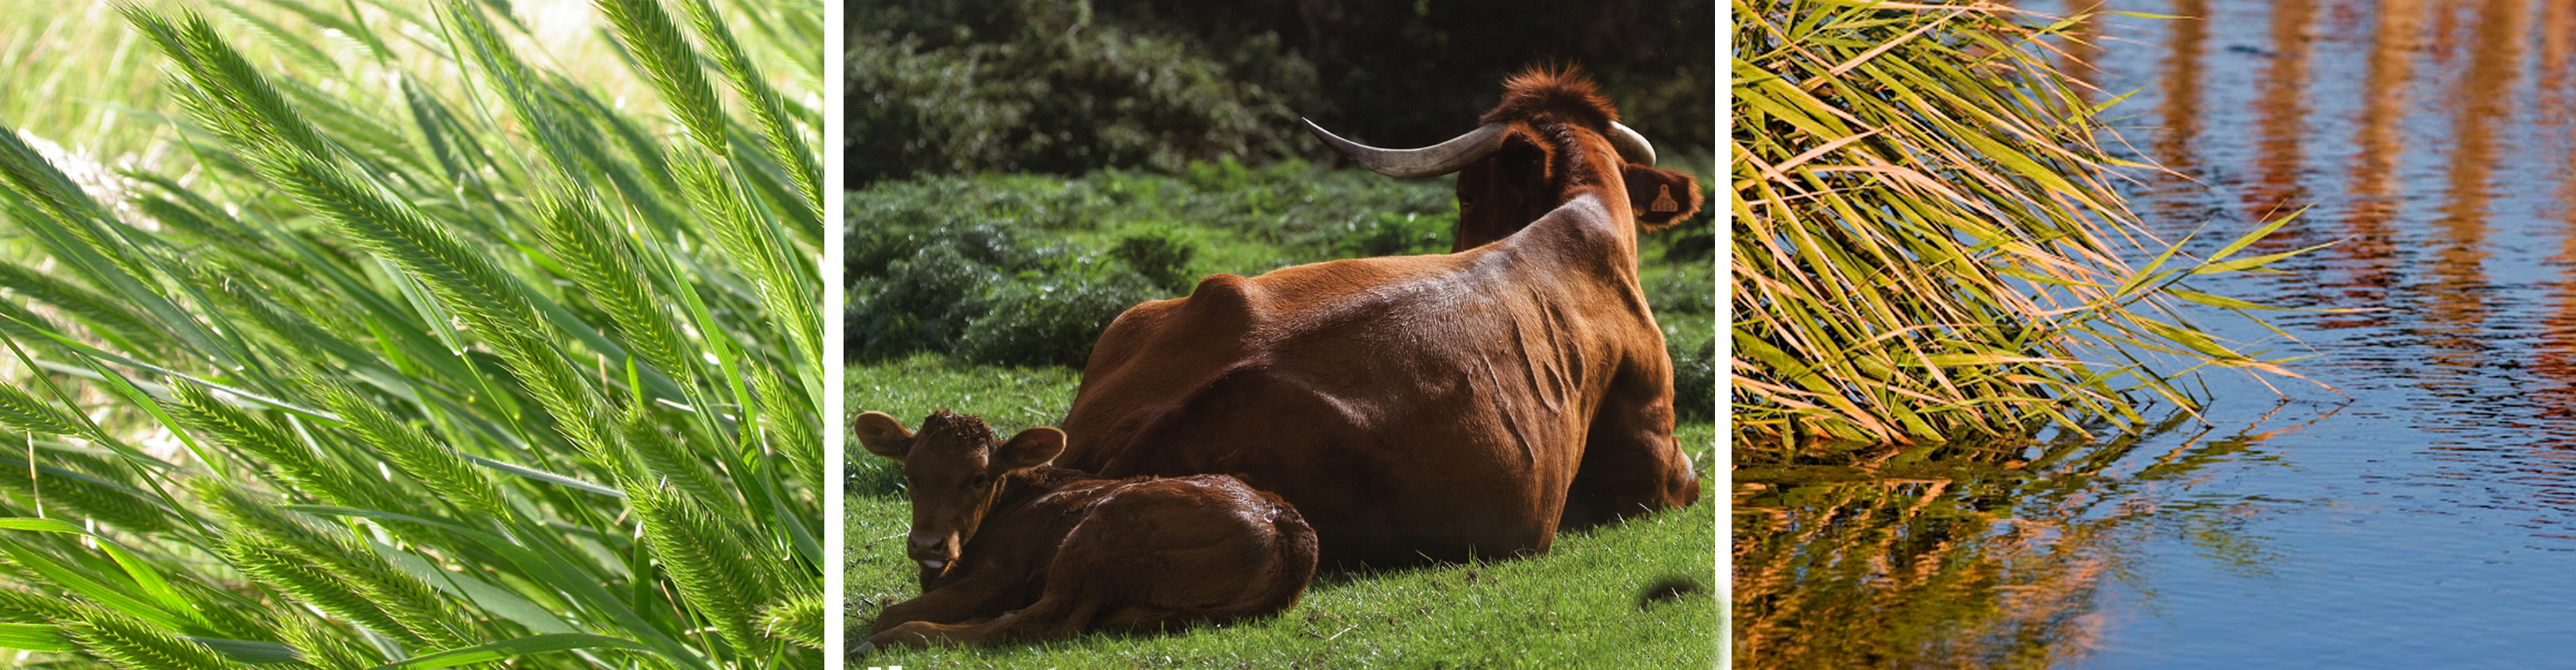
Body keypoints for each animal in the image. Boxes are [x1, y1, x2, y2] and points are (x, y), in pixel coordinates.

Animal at [855, 407, 1318, 649]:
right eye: (911, 474)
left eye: (979, 478)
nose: (927, 544)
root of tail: (1284, 520)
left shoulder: (1001, 575)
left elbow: (891, 611)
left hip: (1099, 534)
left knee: (1046, 621)